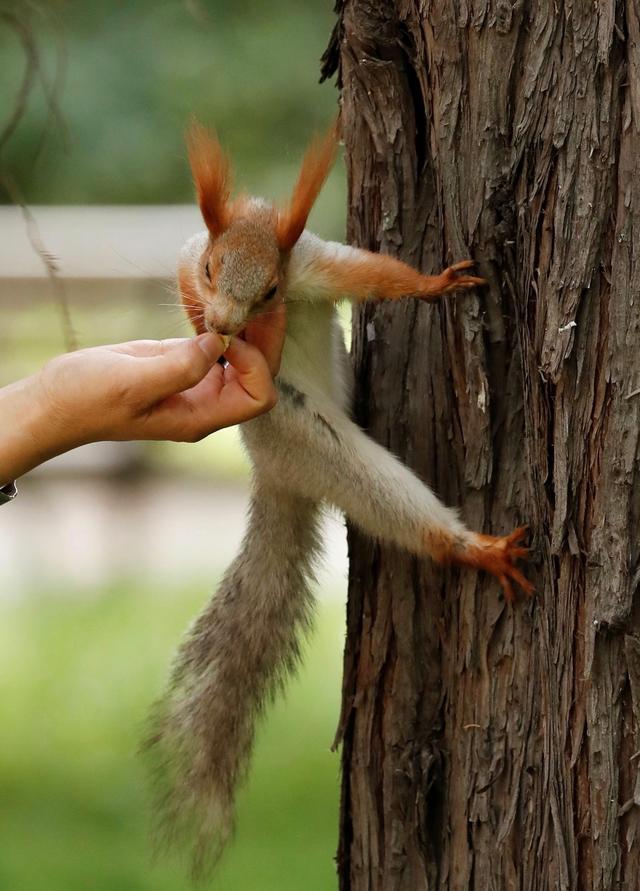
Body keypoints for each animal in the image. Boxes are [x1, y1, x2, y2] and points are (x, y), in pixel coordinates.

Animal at [145, 120, 528, 880]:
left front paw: (438, 281)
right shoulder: (193, 255)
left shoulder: (315, 266)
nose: (226, 328)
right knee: (384, 496)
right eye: (212, 270)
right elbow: (180, 272)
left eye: (269, 290)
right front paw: (200, 327)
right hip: (314, 444)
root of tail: (272, 470)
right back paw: (472, 546)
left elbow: (382, 275)